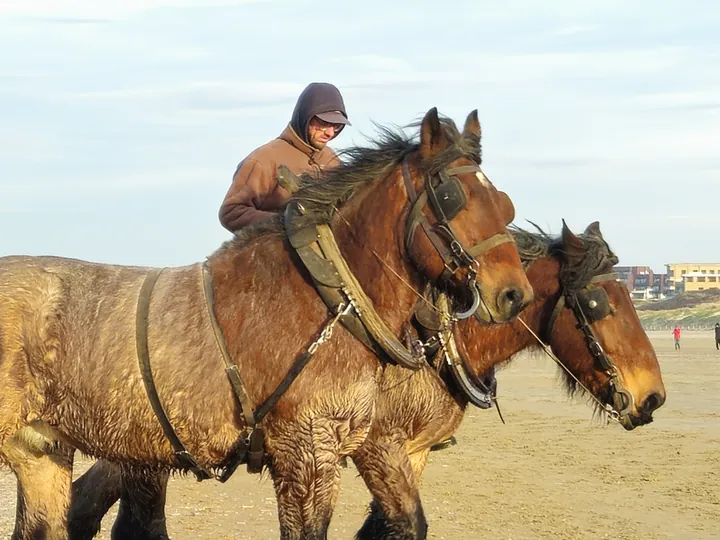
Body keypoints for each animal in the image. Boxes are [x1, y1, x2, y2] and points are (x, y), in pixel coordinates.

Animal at [1, 106, 536, 540]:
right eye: (450, 196)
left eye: (505, 203)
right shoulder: (308, 453)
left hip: (42, 450)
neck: (323, 297)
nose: (514, 294)